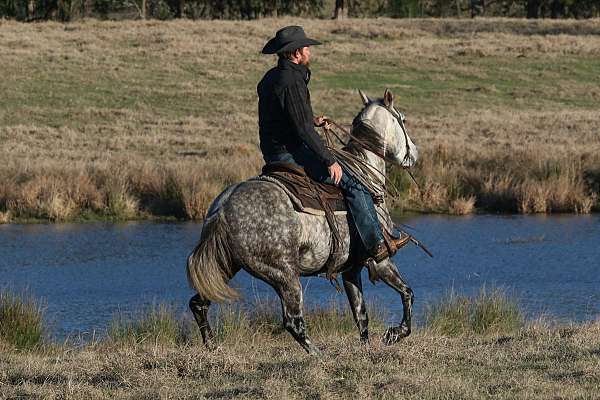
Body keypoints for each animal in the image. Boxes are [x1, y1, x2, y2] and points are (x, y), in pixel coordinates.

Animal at [186, 89, 418, 354]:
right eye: (403, 119)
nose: (415, 155)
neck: (366, 176)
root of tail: (223, 208)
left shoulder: (351, 269)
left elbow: (361, 315)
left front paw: (367, 349)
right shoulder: (381, 261)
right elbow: (407, 293)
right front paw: (395, 333)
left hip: (225, 264)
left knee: (199, 303)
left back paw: (212, 347)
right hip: (284, 275)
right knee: (293, 321)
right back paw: (319, 355)